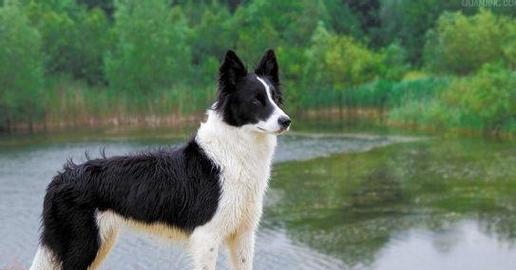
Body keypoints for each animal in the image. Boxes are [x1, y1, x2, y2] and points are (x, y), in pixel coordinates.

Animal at [29, 49, 290, 270]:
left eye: (275, 98)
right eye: (255, 100)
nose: (286, 121)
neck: (235, 154)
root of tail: (61, 177)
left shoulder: (243, 235)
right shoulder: (206, 237)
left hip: (100, 243)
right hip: (83, 245)